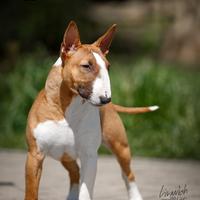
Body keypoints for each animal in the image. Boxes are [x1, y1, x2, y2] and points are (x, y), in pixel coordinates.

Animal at [24, 21, 159, 199]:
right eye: (86, 66)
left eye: (108, 67)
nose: (106, 100)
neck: (67, 111)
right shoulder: (34, 156)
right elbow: (31, 192)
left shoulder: (90, 156)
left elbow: (86, 191)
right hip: (65, 156)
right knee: (75, 172)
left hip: (120, 146)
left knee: (127, 174)